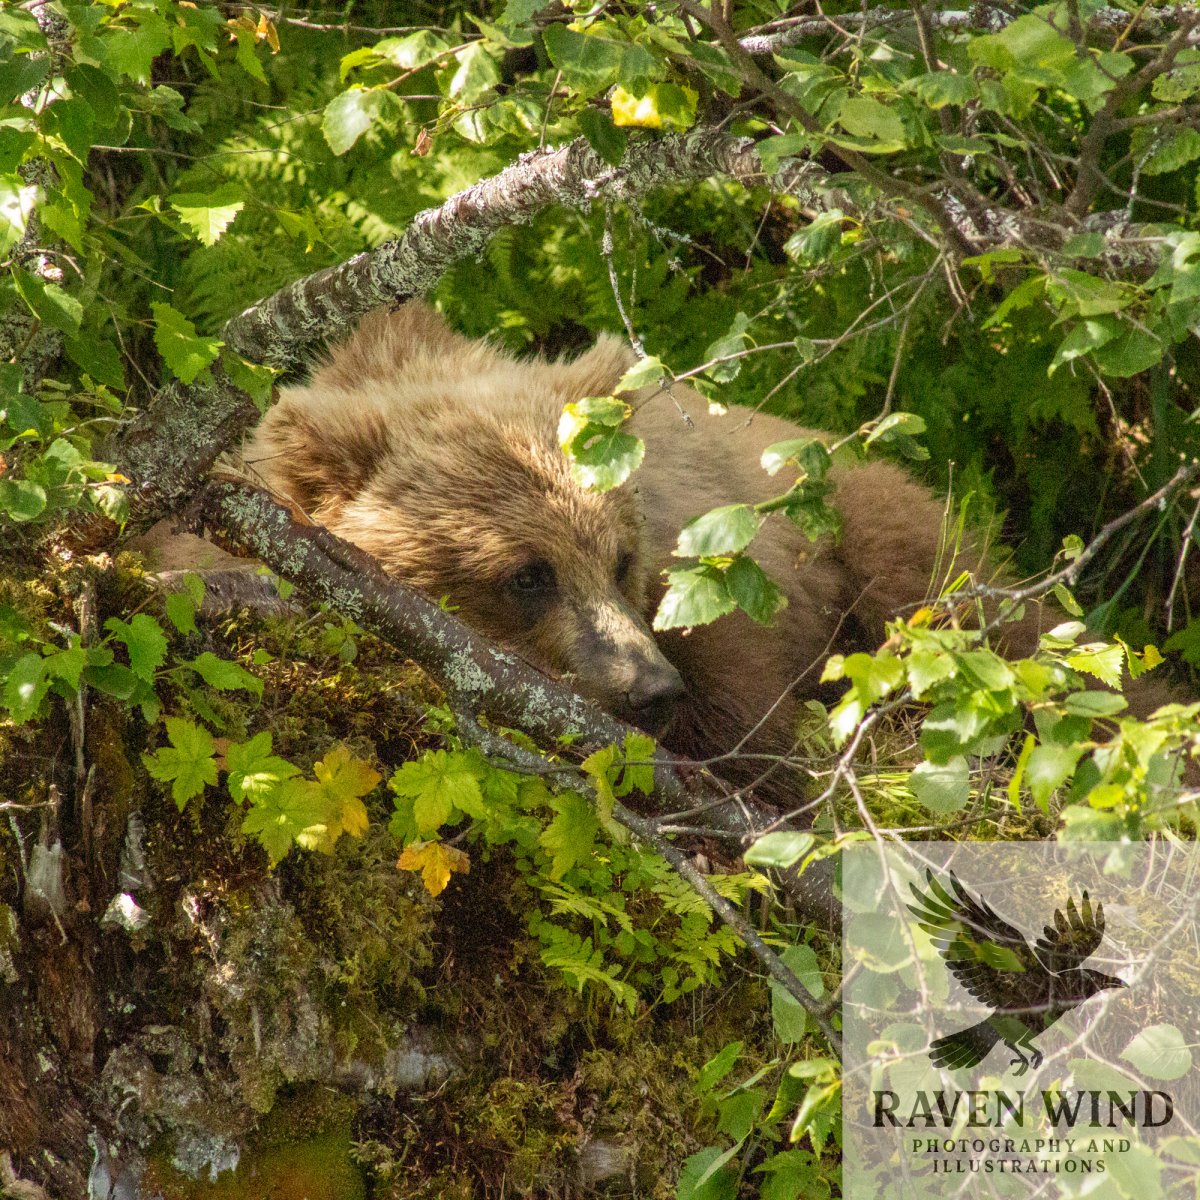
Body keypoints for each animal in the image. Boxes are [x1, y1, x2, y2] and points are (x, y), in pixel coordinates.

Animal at [240, 302, 1042, 803]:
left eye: (619, 558)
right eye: (528, 575)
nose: (651, 688)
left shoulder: (711, 573)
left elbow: (744, 705)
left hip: (869, 514)